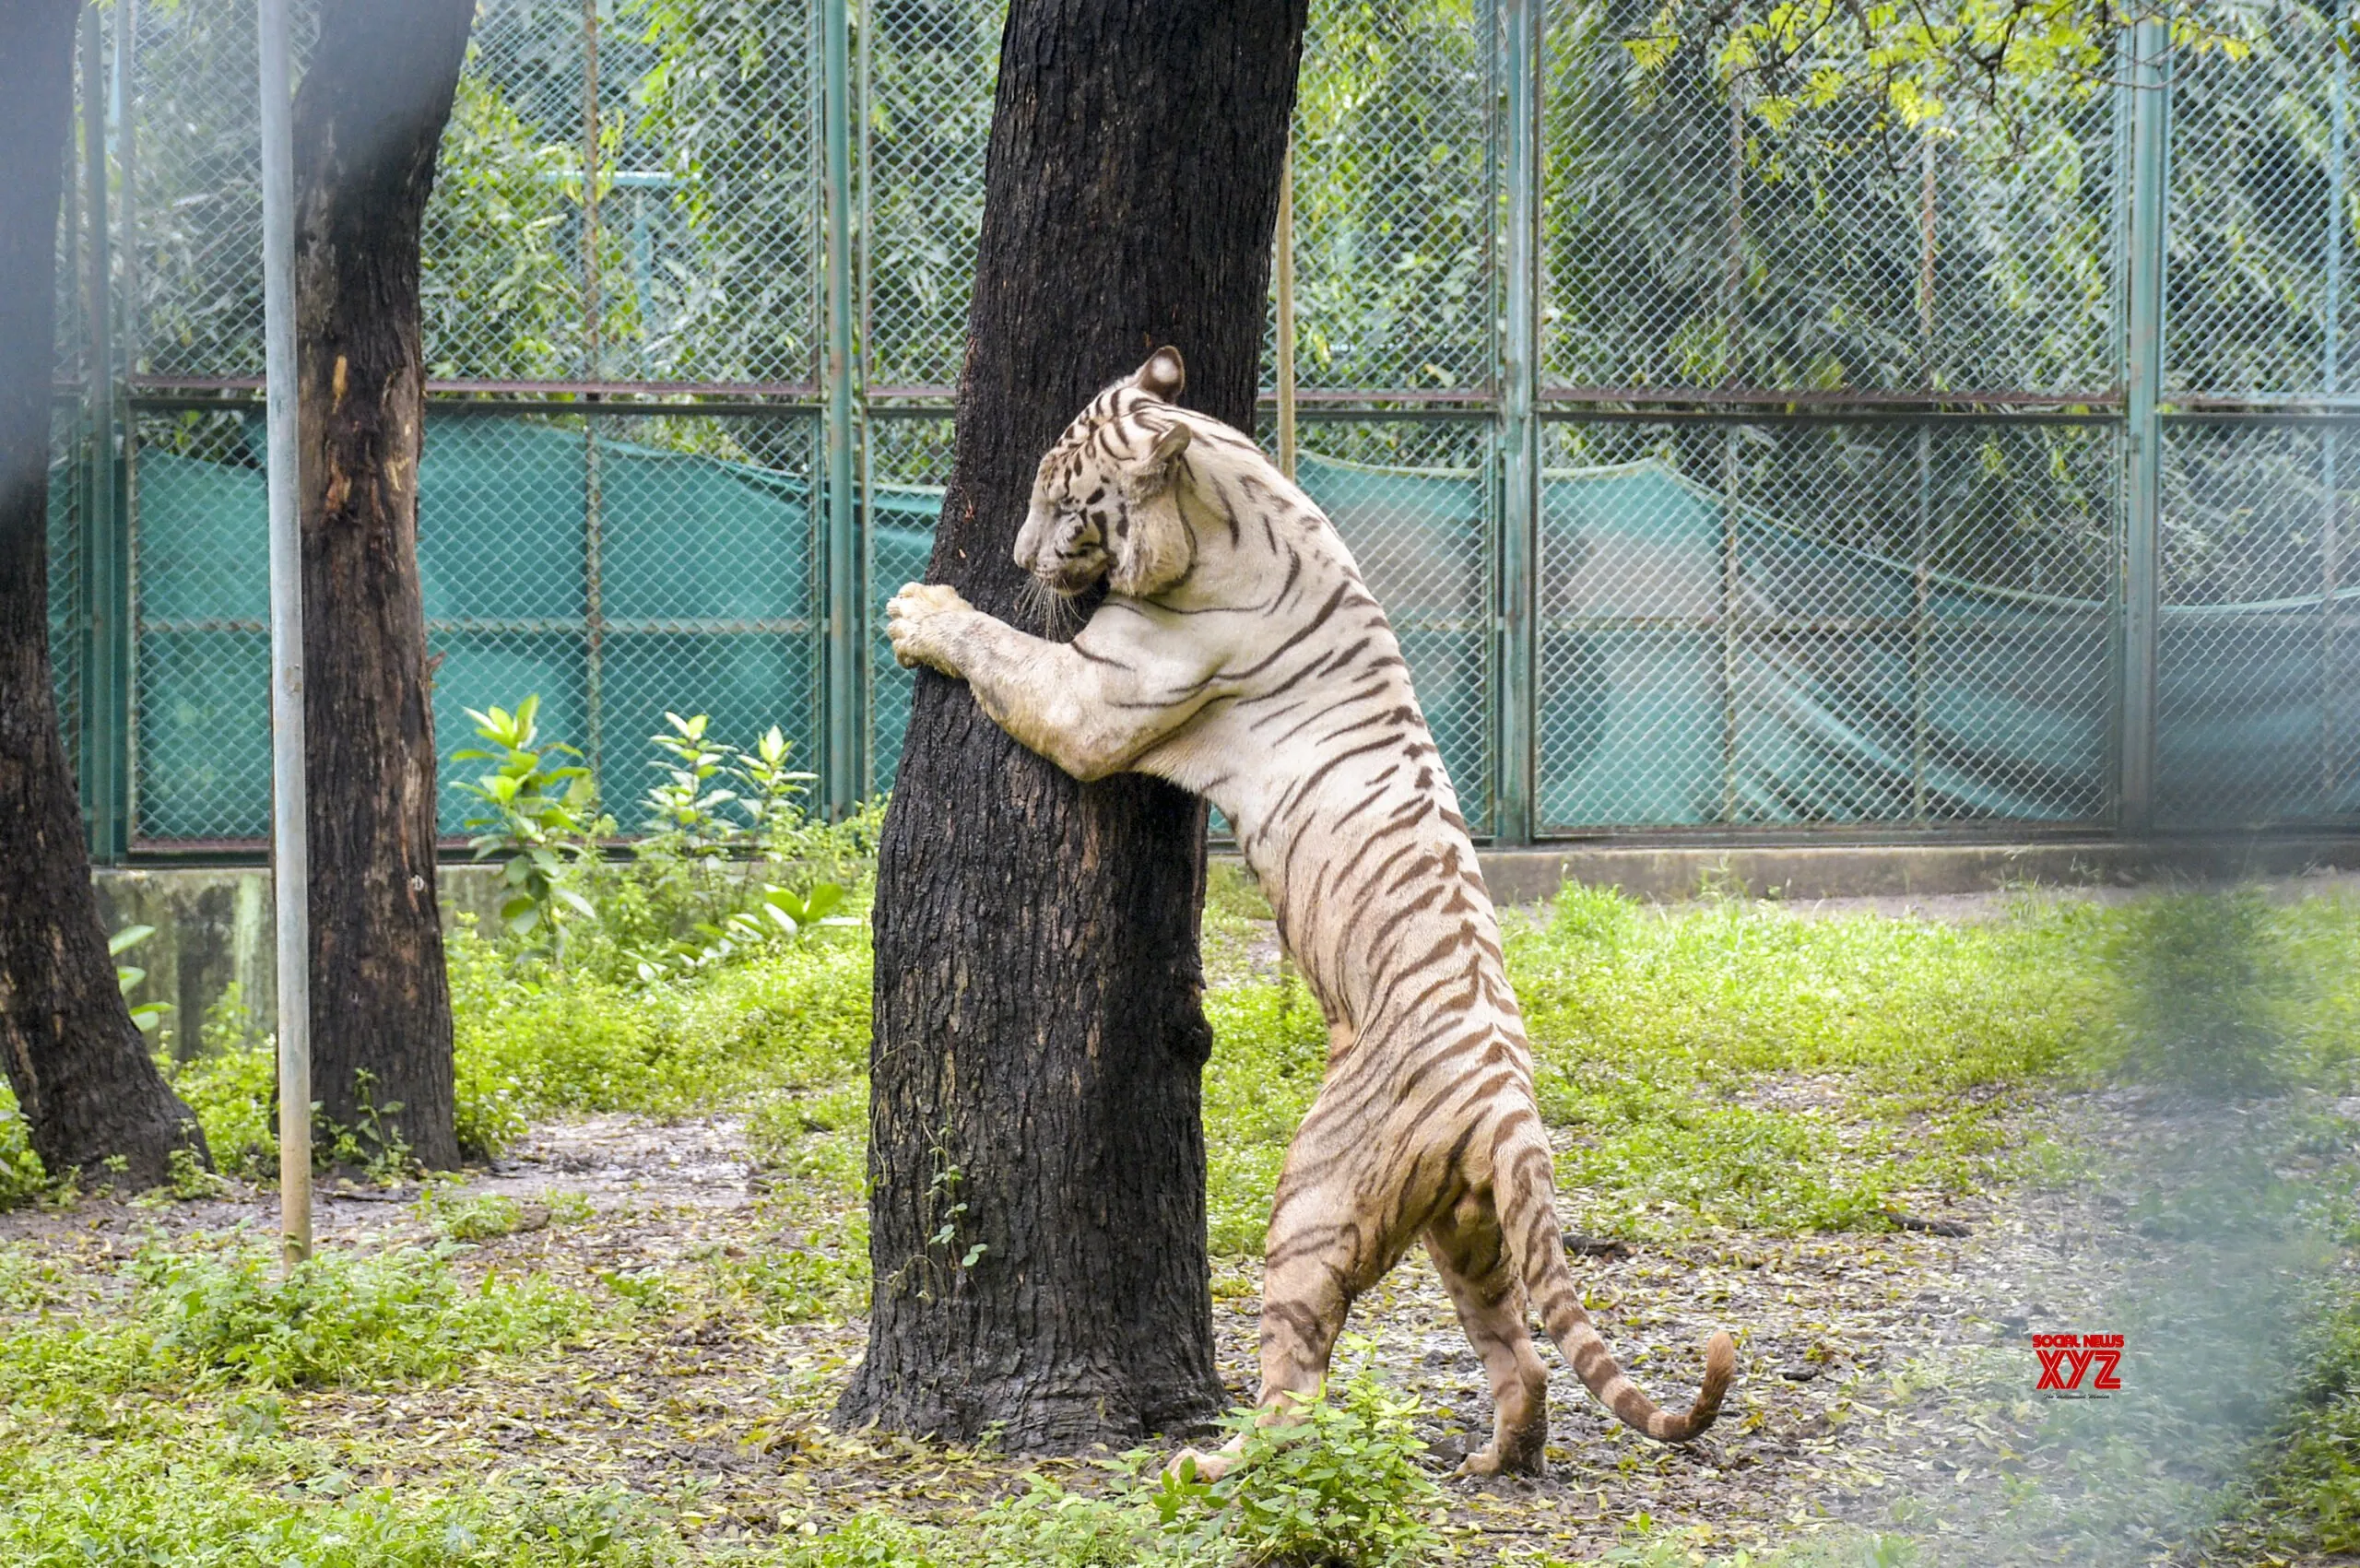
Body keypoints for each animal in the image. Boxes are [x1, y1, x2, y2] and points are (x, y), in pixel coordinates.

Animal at [886, 346, 1736, 1480]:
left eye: (1064, 503)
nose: (1020, 552)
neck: (1227, 493)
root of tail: (1507, 1101)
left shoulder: (1093, 698)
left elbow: (998, 647)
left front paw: (919, 609)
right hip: (1467, 1230)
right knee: (1523, 1354)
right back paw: (1493, 1460)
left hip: (1317, 1201)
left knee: (1297, 1389)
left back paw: (1210, 1464)